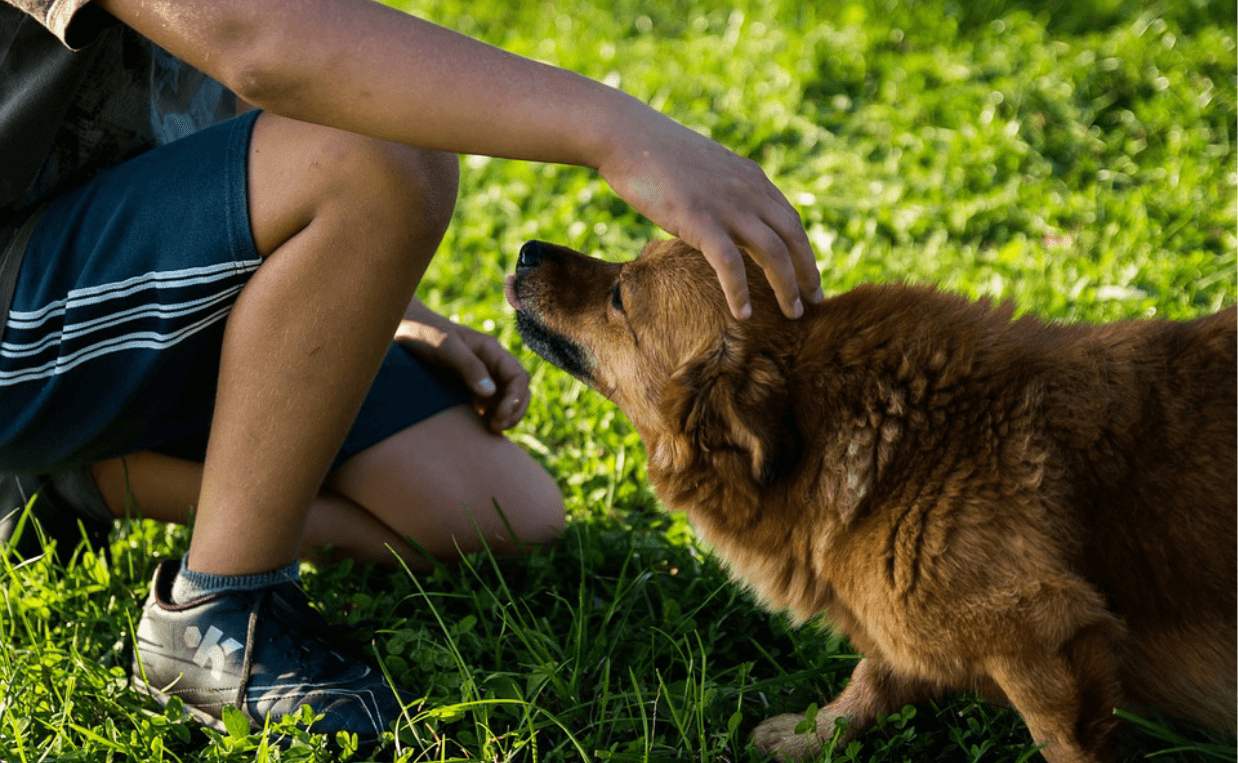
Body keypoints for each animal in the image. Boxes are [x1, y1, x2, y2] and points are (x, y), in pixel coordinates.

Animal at [505, 240, 1238, 763]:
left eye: (620, 294)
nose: (527, 249)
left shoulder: (1043, 637)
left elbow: (1061, 742)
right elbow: (877, 674)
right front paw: (815, 735)